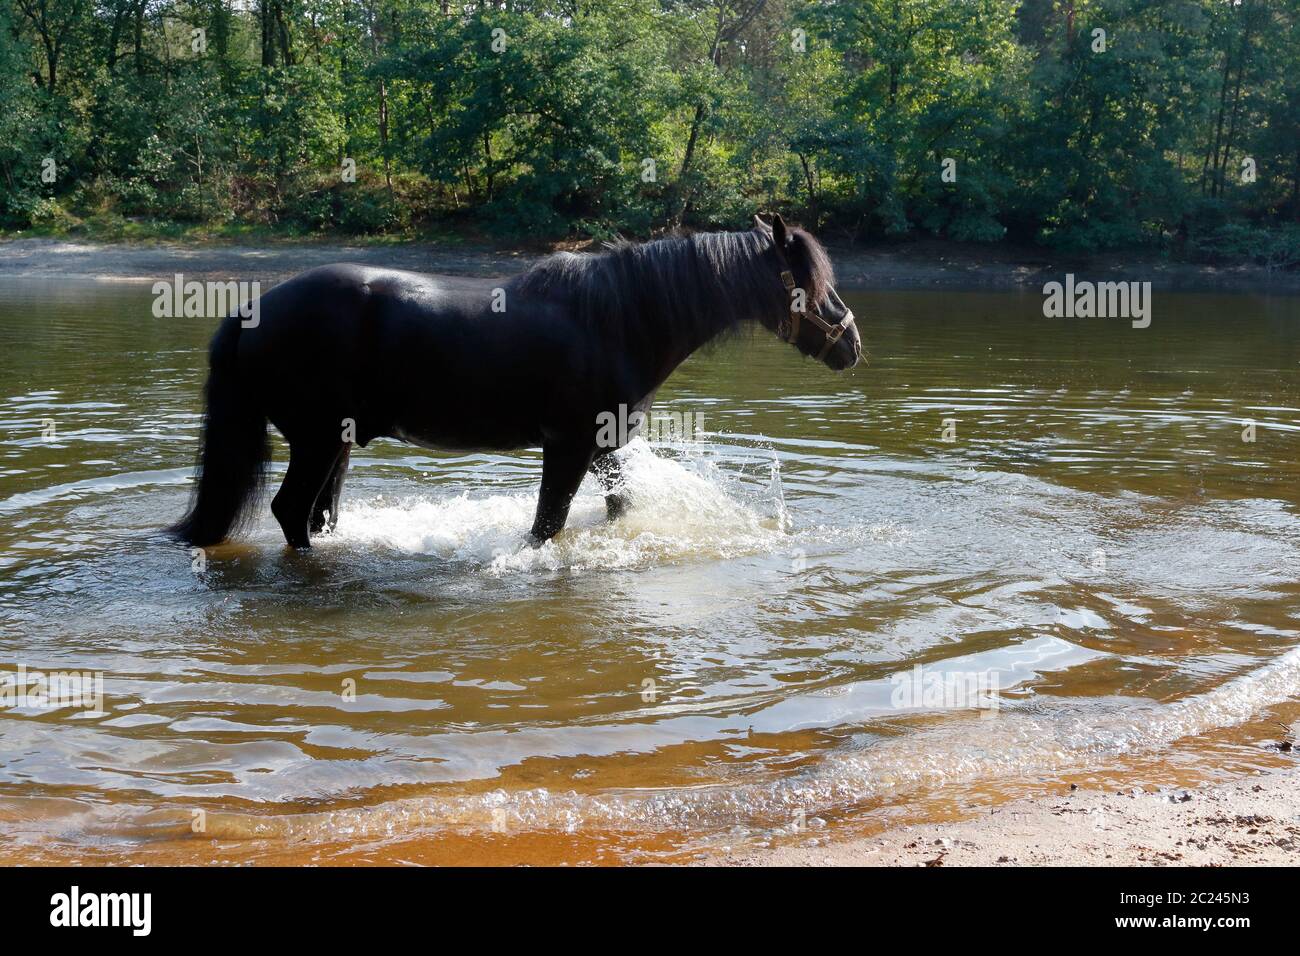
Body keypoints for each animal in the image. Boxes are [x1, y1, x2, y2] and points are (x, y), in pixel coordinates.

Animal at [168, 213, 861, 550]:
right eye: (804, 281)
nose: (852, 342)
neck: (615, 317)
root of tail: (253, 309)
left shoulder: (606, 449)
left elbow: (618, 511)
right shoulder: (569, 446)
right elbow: (546, 527)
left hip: (334, 445)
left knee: (316, 516)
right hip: (315, 442)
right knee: (291, 514)